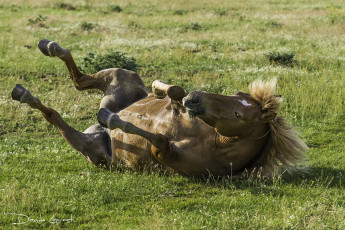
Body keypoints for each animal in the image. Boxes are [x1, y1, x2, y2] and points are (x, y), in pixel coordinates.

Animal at [11, 39, 306, 178]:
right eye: (237, 94)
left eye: (238, 114)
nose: (195, 99)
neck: (214, 141)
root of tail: (95, 133)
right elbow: (175, 90)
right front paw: (159, 89)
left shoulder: (163, 152)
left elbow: (157, 138)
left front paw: (111, 118)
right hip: (120, 75)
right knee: (80, 79)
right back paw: (48, 47)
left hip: (92, 150)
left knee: (55, 115)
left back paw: (25, 94)